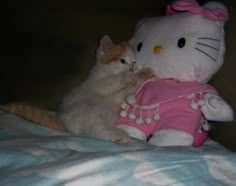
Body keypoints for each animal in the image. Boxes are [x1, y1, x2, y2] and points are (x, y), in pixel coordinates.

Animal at [2, 35, 155, 145]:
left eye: (134, 62)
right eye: (122, 61)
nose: (133, 68)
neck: (105, 71)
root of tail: (64, 122)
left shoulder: (118, 95)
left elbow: (127, 90)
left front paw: (142, 75)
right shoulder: (96, 83)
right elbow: (113, 81)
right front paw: (129, 76)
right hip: (89, 111)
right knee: (96, 129)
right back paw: (118, 136)